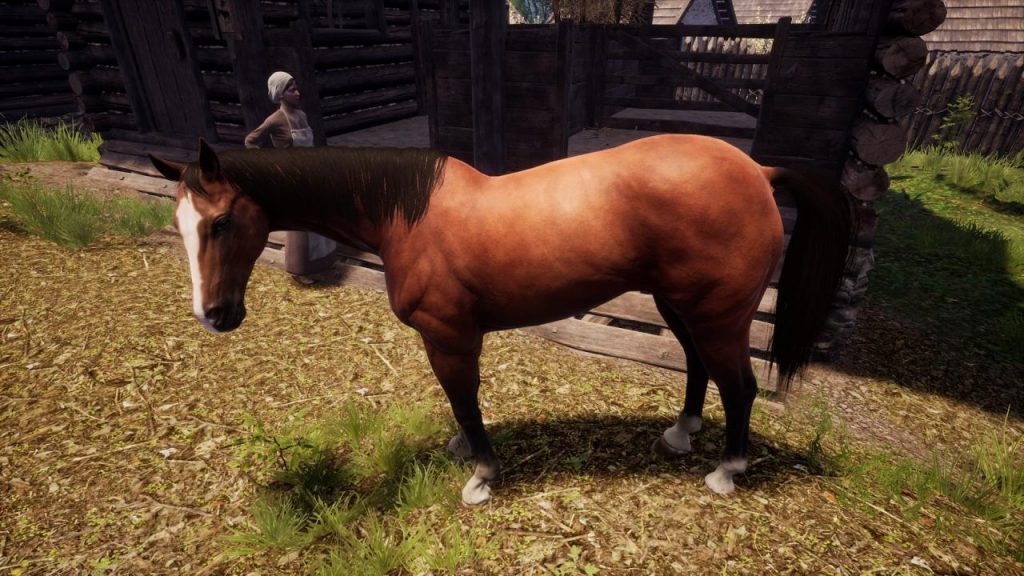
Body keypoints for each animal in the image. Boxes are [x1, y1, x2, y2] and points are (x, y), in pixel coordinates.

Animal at [149, 135, 851, 504]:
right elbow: (459, 404)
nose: (214, 316)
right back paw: (681, 434)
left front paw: (482, 475)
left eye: (221, 221)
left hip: (716, 315)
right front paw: (466, 452)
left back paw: (727, 471)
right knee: (698, 369)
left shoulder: (449, 337)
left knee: (741, 386)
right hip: (676, 305)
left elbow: (464, 400)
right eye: (180, 224)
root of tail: (756, 169)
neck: (406, 216)